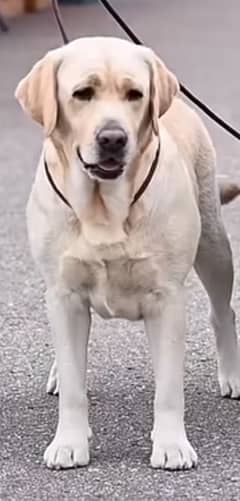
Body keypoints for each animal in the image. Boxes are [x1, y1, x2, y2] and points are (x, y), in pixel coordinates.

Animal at [15, 36, 240, 468]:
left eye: (135, 94)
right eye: (82, 93)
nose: (113, 139)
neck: (103, 208)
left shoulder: (167, 299)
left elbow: (168, 388)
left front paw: (171, 445)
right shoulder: (64, 295)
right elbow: (74, 384)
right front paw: (69, 442)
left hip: (213, 245)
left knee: (223, 312)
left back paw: (233, 374)